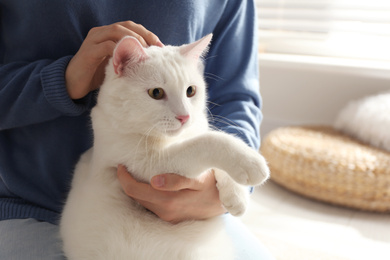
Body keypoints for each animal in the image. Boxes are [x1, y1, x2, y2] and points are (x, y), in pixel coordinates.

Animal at [59, 34, 270, 260]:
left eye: (190, 91)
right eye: (156, 93)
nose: (185, 116)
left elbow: (210, 141)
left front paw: (237, 196)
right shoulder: (148, 165)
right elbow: (207, 141)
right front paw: (250, 163)